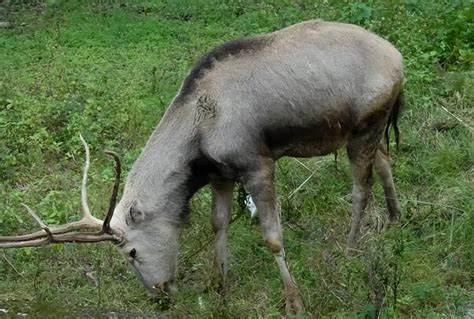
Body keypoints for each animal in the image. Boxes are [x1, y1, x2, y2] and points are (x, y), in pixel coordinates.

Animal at [0, 20, 402, 316]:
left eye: (130, 252)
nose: (159, 294)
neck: (198, 139)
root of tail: (400, 61)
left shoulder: (257, 164)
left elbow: (273, 238)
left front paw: (294, 300)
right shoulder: (221, 174)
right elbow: (218, 223)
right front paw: (216, 282)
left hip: (364, 126)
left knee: (360, 188)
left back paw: (351, 247)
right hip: (369, 130)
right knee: (385, 159)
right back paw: (396, 216)